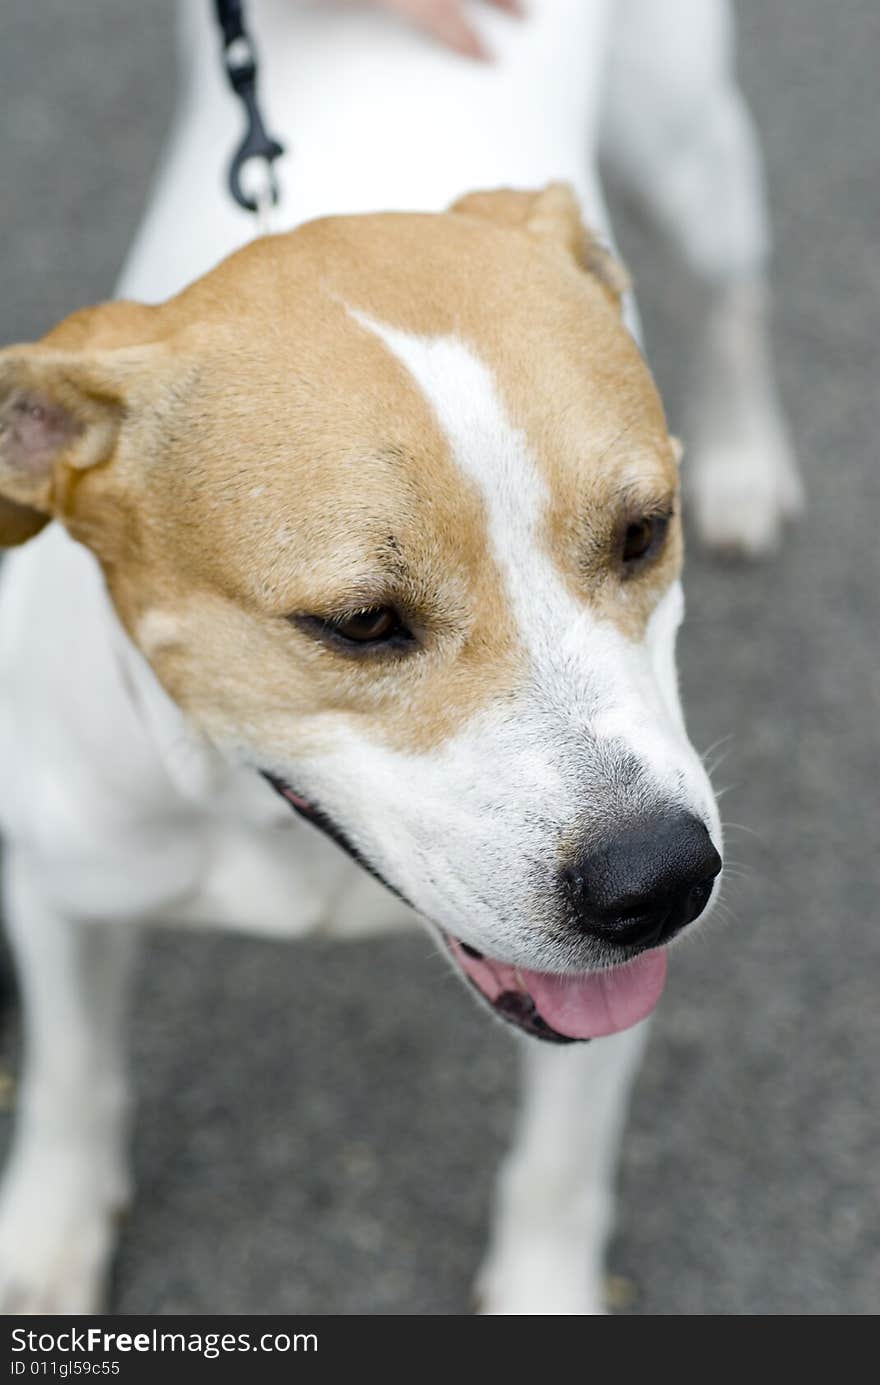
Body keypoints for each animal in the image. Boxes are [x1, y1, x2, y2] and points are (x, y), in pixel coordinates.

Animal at [0, 0, 798, 1312]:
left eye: (642, 532)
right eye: (361, 622)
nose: (661, 880)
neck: (261, 818)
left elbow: (557, 1170)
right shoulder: (58, 892)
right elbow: (71, 1076)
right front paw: (51, 1232)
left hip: (691, 151)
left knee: (733, 291)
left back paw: (746, 456)